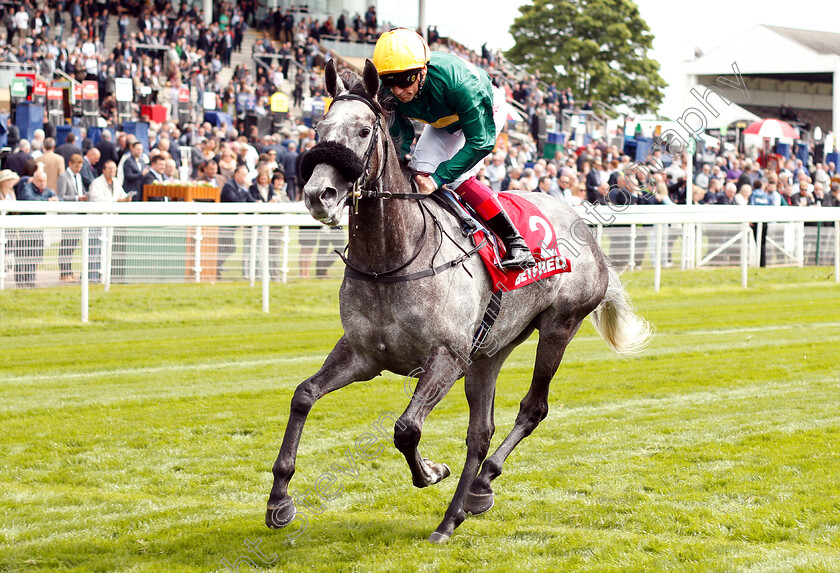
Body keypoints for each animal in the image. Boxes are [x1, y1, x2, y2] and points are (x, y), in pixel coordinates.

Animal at [266, 60, 652, 544]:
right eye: (319, 128)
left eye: (363, 130)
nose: (319, 195)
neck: (391, 260)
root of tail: (584, 228)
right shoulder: (362, 354)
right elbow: (303, 395)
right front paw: (279, 499)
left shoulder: (447, 356)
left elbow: (406, 428)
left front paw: (430, 471)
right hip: (489, 351)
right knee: (480, 432)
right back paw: (467, 503)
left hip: (559, 326)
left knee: (532, 408)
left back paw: (467, 500)